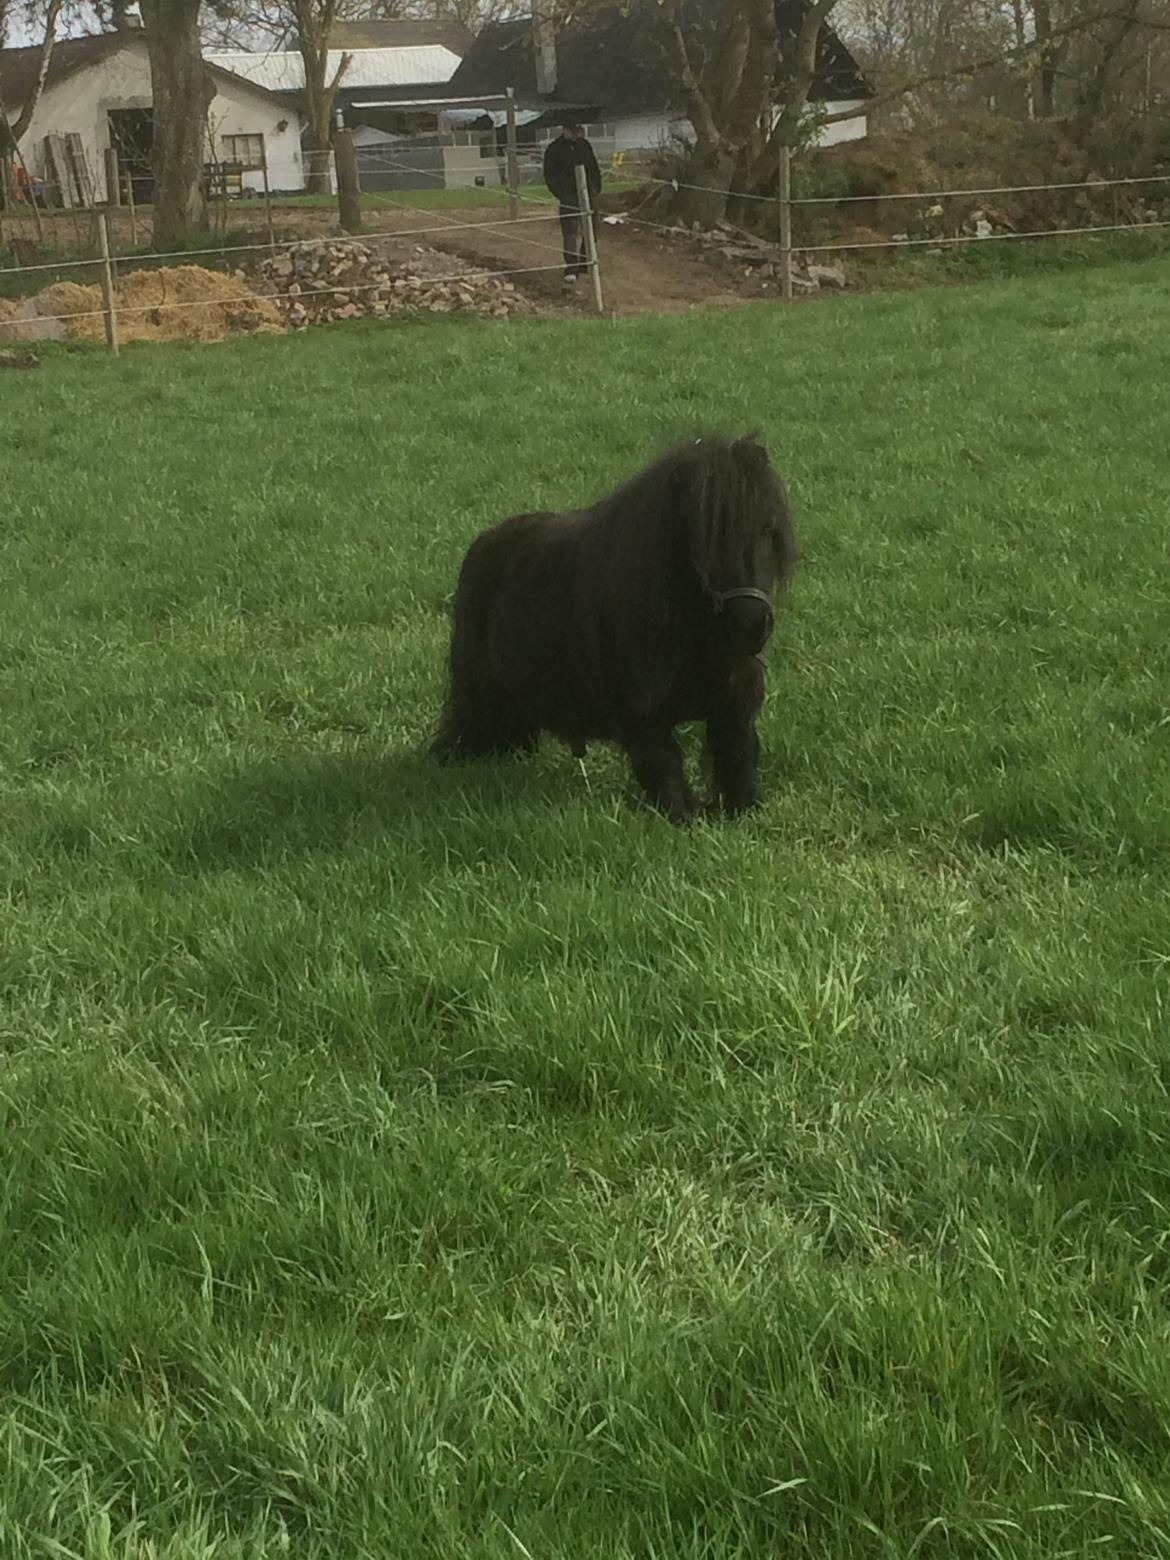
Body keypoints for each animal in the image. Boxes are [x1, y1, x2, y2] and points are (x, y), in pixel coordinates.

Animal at [431, 434, 796, 822]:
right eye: (705, 537)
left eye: (769, 530)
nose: (752, 623)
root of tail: (485, 540)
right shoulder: (643, 715)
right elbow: (664, 767)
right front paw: (681, 816)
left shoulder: (733, 707)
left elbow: (737, 759)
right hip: (476, 687)